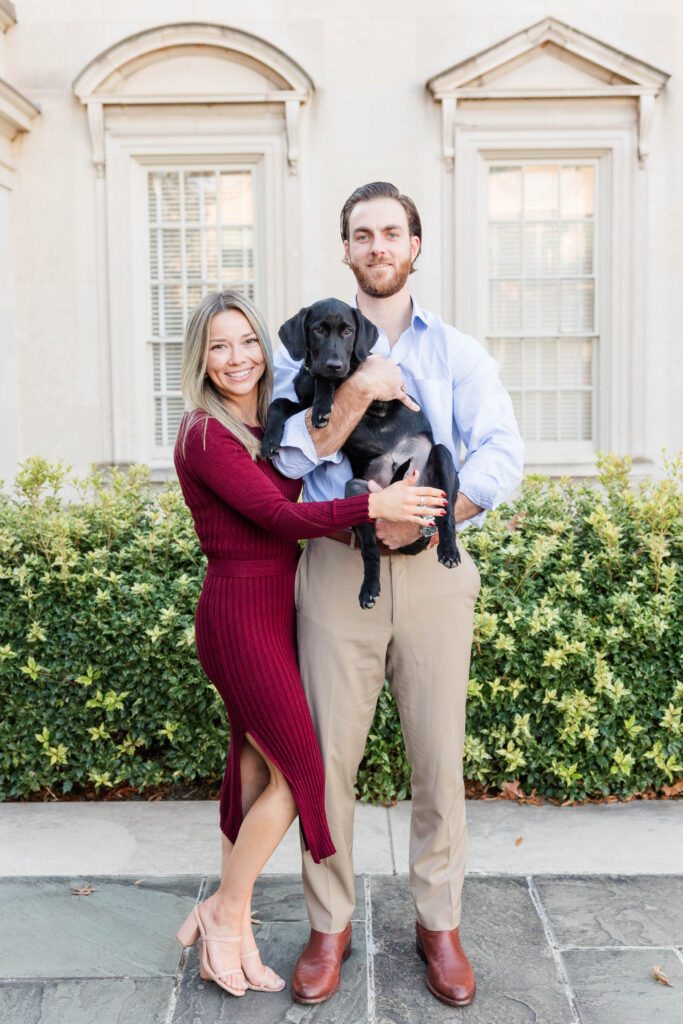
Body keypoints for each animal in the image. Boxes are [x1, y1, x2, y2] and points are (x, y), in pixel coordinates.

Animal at [262, 299, 458, 606]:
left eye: (348, 331)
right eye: (318, 329)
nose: (334, 364)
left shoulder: (381, 396)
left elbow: (344, 377)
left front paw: (323, 401)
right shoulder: (301, 404)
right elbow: (279, 403)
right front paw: (270, 439)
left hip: (441, 459)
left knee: (445, 513)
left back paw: (448, 550)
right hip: (358, 493)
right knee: (371, 551)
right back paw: (369, 589)